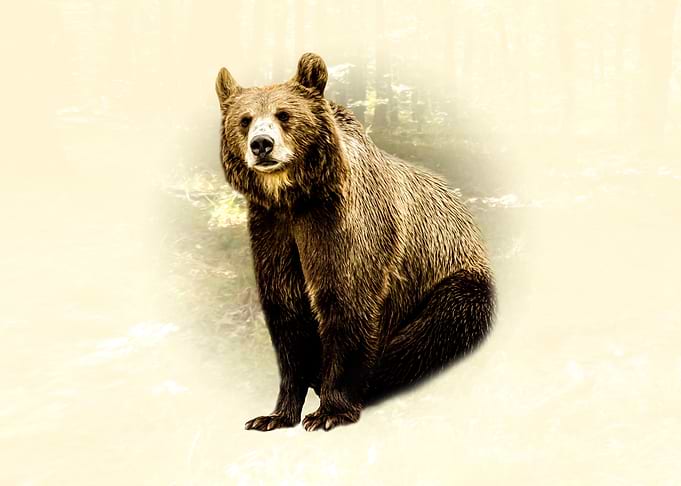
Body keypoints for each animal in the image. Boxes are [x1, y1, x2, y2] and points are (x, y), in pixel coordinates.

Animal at [215, 53, 495, 432]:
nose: (261, 145)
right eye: (245, 120)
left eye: (284, 115)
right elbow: (287, 316)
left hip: (458, 279)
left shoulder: (345, 228)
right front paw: (274, 415)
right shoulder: (272, 232)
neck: (295, 200)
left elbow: (347, 302)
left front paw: (328, 411)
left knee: (438, 325)